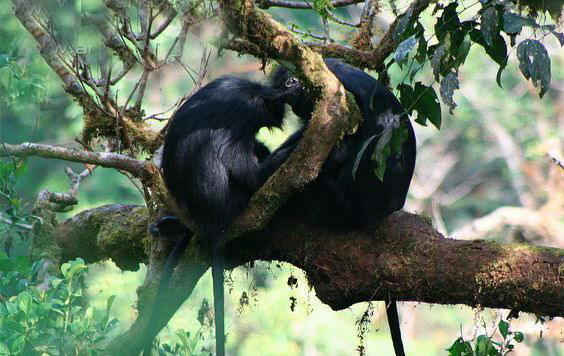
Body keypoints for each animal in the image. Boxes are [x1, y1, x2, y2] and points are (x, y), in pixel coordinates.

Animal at [262, 57, 416, 354]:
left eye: (290, 93)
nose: (295, 108)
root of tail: (387, 210)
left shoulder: (341, 94)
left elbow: (344, 146)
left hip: (344, 208)